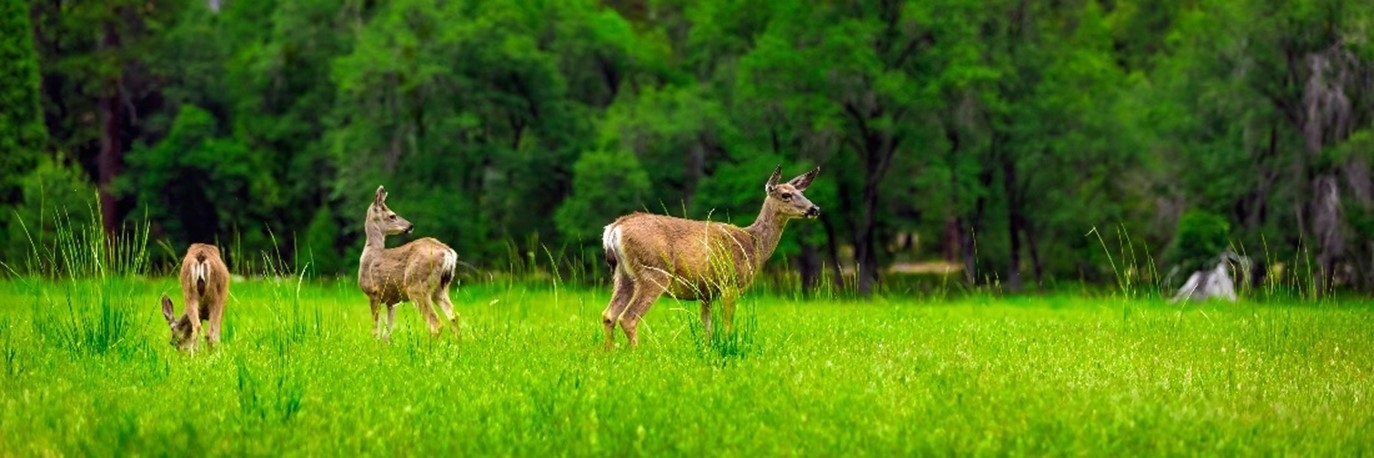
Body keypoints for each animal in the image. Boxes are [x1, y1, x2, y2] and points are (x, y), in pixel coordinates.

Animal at [358, 185, 460, 341]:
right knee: (454, 317)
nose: (410, 226)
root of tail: (448, 253)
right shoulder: (392, 301)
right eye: (392, 215)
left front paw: (373, 345)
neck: (371, 250)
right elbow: (387, 333)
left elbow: (375, 331)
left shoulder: (373, 292)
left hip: (416, 285)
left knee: (436, 324)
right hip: (440, 288)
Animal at [600, 165, 821, 349]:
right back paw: (636, 354)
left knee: (609, 315)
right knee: (628, 318)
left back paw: (610, 353)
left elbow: (708, 328)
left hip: (623, 274)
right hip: (654, 272)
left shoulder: (706, 293)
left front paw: (709, 349)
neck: (753, 244)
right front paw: (729, 345)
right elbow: (727, 324)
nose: (815, 209)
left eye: (802, 193)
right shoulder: (730, 284)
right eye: (786, 195)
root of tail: (614, 228)